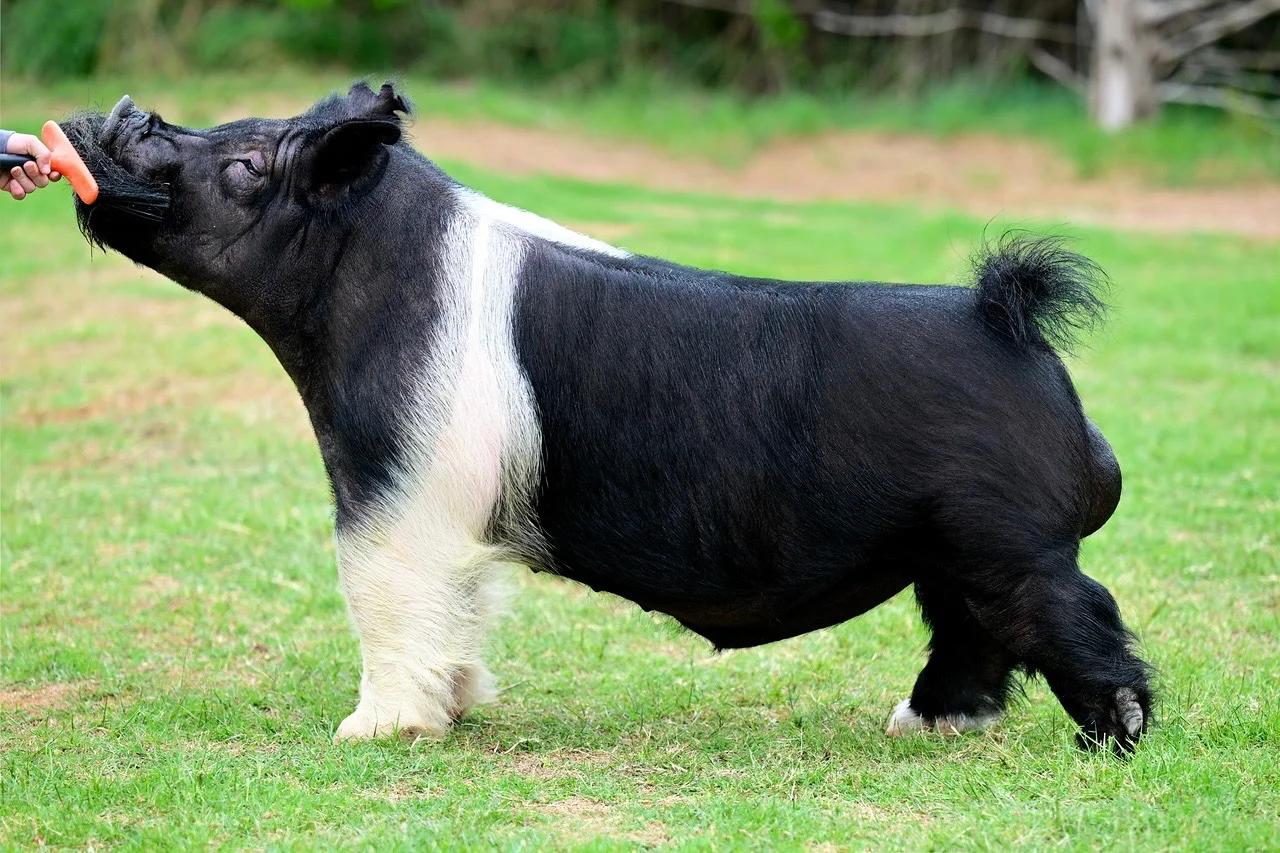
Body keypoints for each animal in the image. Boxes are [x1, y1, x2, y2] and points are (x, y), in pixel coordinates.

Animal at [64, 82, 1151, 752]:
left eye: (248, 165)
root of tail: (1006, 320)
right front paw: (458, 709)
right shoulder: (448, 519)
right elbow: (460, 607)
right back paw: (921, 725)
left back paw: (1114, 738)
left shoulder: (390, 491)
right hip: (951, 546)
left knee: (1074, 615)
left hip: (1007, 536)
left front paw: (369, 732)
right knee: (971, 632)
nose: (119, 112)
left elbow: (380, 595)